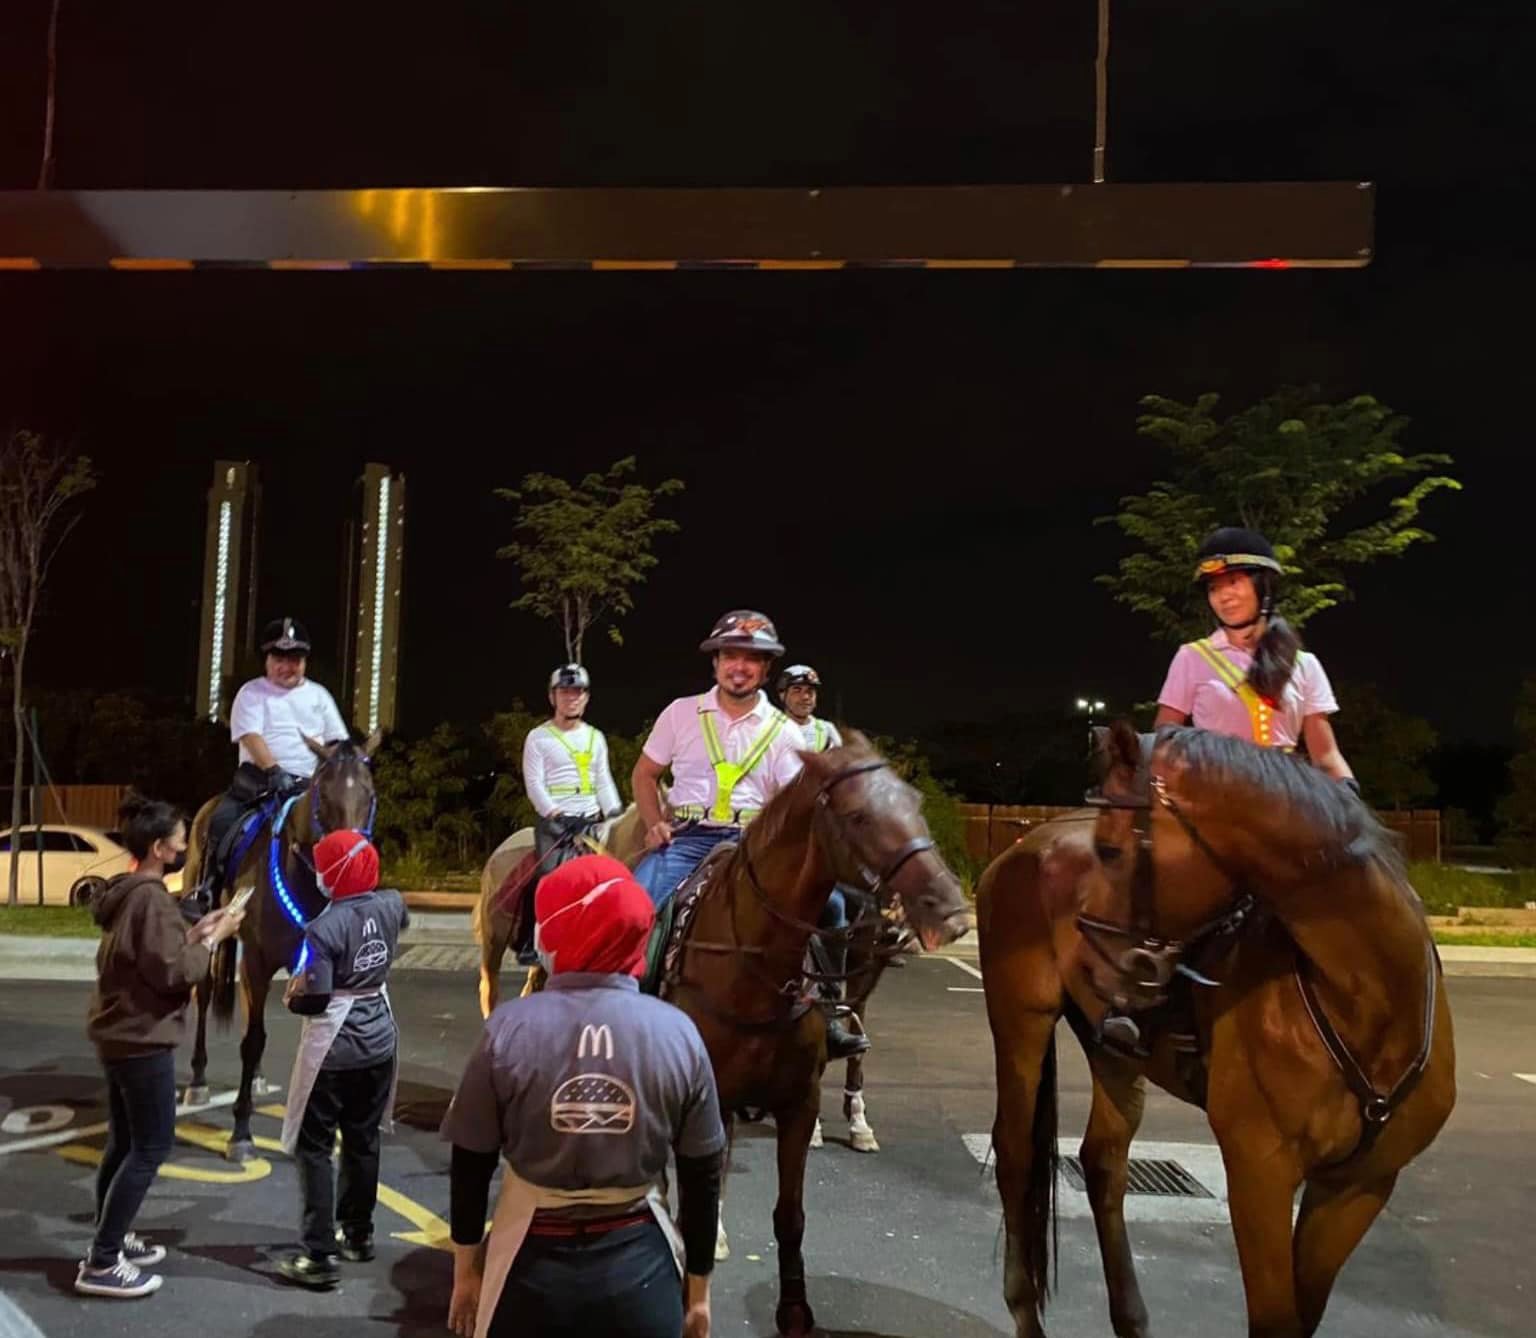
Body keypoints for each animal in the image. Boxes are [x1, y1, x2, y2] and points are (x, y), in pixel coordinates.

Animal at [184, 731, 379, 1161]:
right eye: (324, 795)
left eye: (370, 794)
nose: (353, 865)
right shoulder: (257, 963)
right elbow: (253, 1040)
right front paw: (241, 1133)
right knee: (204, 996)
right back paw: (198, 1081)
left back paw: (255, 1079)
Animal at [976, 721, 1456, 1338]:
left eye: (1111, 850)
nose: (1090, 963)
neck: (1368, 999)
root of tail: (1021, 847)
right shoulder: (1259, 1174)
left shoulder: (1359, 1187)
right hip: (1021, 1020)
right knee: (1015, 1157)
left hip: (1115, 1052)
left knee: (1103, 1163)